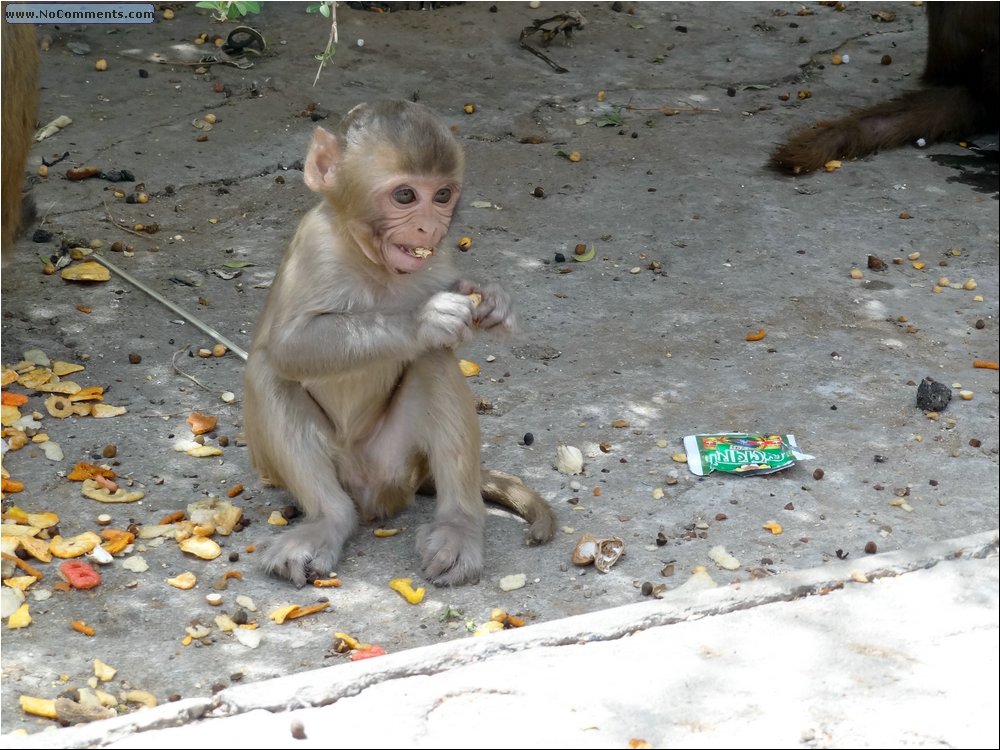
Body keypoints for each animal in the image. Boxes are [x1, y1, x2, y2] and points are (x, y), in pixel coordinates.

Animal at [242, 100, 556, 588]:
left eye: (442, 195)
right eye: (405, 196)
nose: (428, 226)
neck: (373, 264)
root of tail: (370, 492)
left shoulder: (439, 261)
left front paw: (492, 300)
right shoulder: (316, 248)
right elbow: (291, 347)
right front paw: (426, 320)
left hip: (397, 464)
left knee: (435, 363)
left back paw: (458, 527)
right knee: (268, 374)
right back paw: (328, 520)